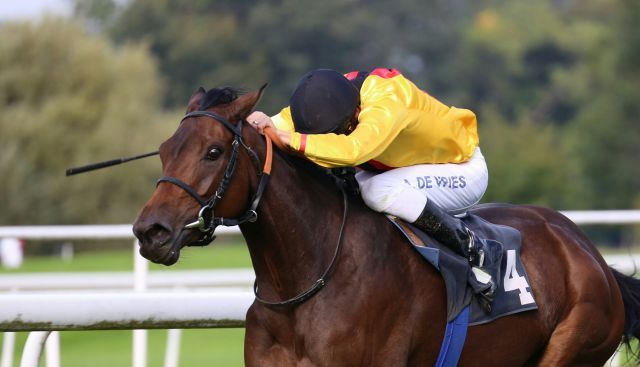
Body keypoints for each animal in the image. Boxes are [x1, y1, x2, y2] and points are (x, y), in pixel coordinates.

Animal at [132, 85, 640, 366]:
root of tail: (591, 256)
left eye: (213, 151)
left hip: (575, 342)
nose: (150, 231)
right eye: (164, 149)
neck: (305, 281)